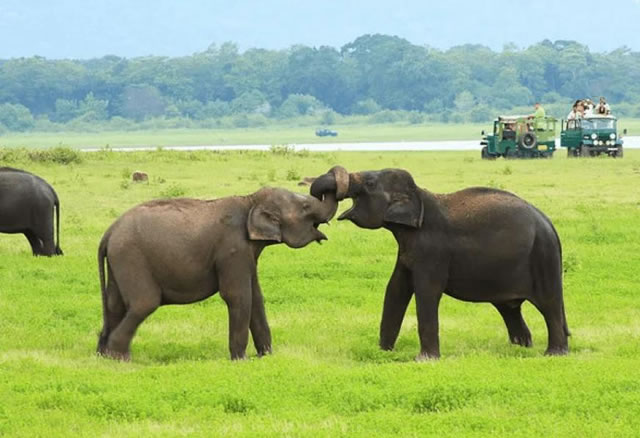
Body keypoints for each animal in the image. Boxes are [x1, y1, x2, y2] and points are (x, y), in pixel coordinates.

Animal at [97, 175, 346, 361]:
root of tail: (109, 232)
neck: (250, 200)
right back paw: (120, 358)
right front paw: (241, 360)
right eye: (305, 206)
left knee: (115, 305)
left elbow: (257, 297)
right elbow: (238, 296)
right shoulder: (232, 250)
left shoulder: (247, 254)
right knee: (144, 303)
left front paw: (266, 356)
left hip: (119, 263)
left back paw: (103, 356)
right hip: (131, 258)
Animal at [310, 166, 569, 360]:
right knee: (509, 308)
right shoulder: (408, 250)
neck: (419, 195)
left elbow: (426, 292)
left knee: (549, 303)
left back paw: (553, 354)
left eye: (371, 182)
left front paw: (423, 360)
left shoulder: (431, 249)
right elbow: (395, 289)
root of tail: (549, 224)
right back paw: (520, 348)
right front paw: (383, 353)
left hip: (542, 257)